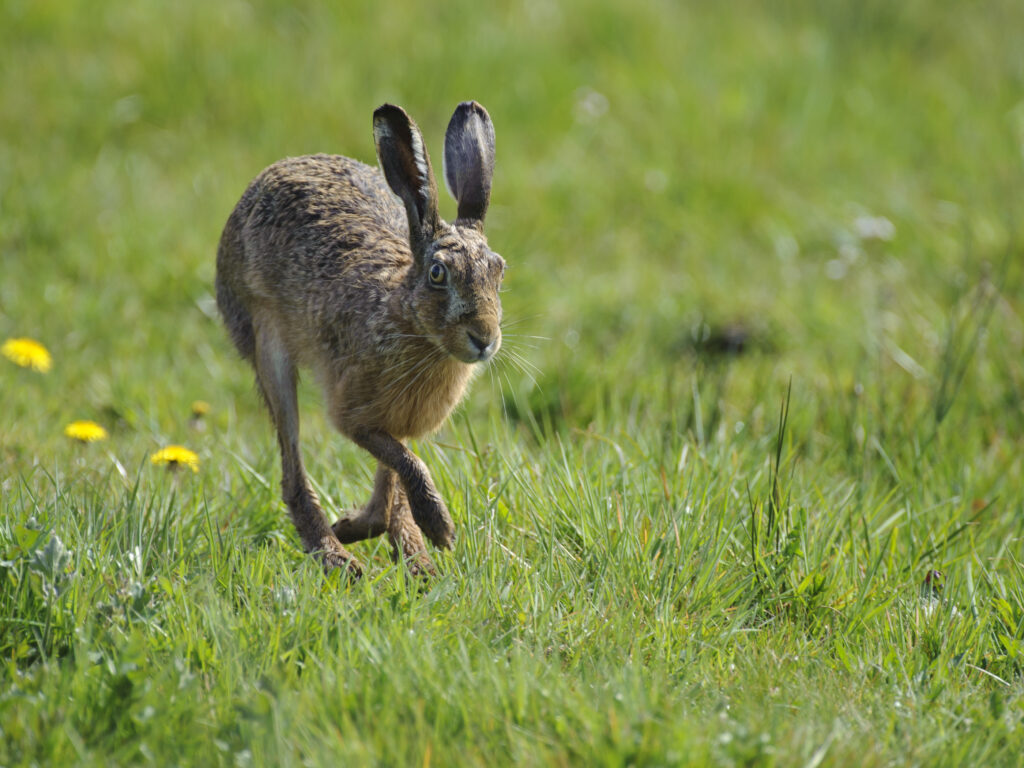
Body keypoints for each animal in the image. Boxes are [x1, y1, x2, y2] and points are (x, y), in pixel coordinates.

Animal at [215, 101, 503, 577]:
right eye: (437, 274)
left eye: (500, 271)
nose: (484, 337)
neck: (405, 318)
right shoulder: (354, 416)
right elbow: (405, 463)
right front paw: (439, 527)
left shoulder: (398, 422)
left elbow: (395, 476)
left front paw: (373, 528)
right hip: (265, 341)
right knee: (291, 465)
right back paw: (336, 557)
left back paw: (410, 559)